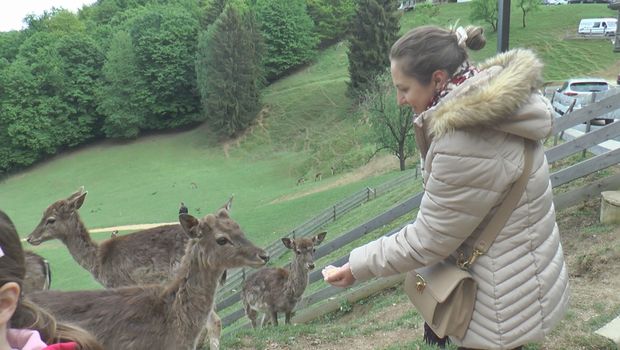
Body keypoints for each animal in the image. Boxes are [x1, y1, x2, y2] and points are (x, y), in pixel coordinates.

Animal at [28, 206, 268, 348]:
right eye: (222, 239)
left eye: (50, 219)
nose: (31, 237)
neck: (97, 261)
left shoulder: (118, 282)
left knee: (215, 320)